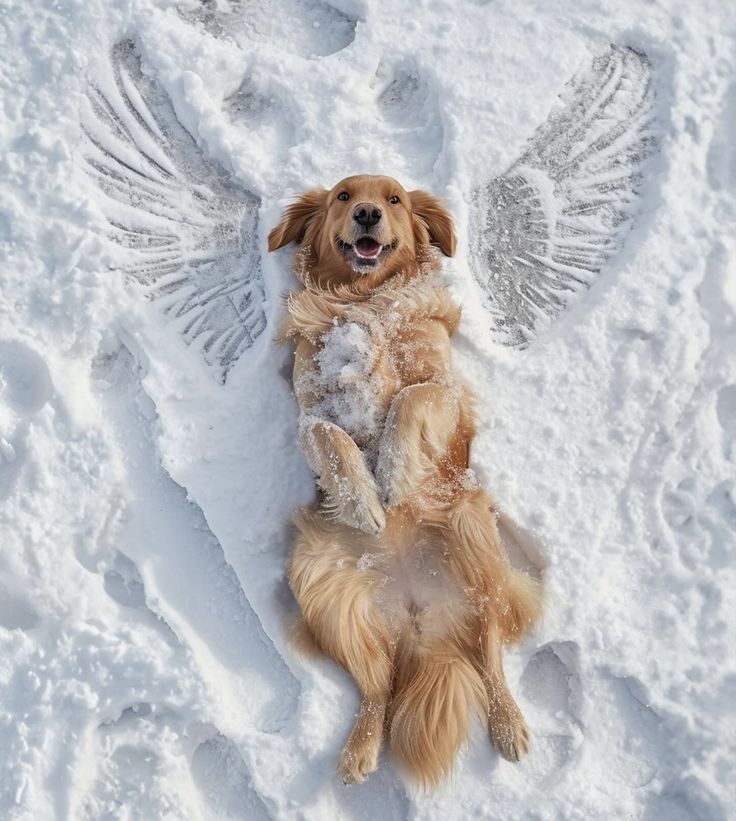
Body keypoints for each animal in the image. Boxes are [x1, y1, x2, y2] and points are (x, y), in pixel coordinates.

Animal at [268, 176, 540, 784]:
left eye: (393, 199)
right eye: (343, 196)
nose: (368, 213)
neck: (365, 299)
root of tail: (421, 622)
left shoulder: (445, 389)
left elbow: (408, 400)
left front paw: (391, 478)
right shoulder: (308, 412)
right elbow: (333, 437)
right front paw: (367, 505)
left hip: (474, 537)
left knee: (490, 661)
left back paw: (510, 725)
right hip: (322, 586)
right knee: (378, 688)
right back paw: (359, 751)